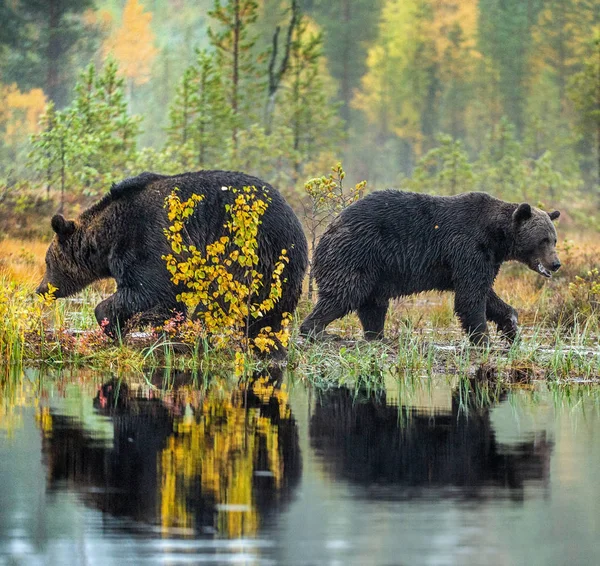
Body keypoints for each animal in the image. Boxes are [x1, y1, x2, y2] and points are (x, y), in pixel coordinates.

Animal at [37, 169, 308, 350]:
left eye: (47, 263)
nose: (40, 289)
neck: (107, 237)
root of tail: (298, 226)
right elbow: (166, 303)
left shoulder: (147, 241)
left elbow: (148, 290)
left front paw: (113, 325)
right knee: (269, 313)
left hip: (251, 256)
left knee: (221, 301)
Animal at [300, 191, 564, 346]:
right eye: (543, 239)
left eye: (554, 239)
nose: (556, 263)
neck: (496, 236)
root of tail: (328, 229)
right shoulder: (467, 247)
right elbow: (470, 297)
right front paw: (483, 339)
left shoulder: (486, 258)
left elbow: (485, 293)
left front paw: (510, 325)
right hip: (357, 253)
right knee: (344, 293)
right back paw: (318, 331)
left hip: (376, 270)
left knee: (373, 305)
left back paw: (376, 336)